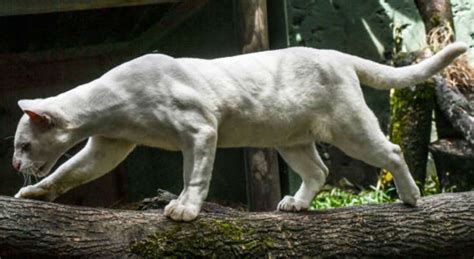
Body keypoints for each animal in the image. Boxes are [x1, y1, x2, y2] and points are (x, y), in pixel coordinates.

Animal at [11, 42, 466, 221]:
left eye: (22, 144)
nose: (15, 164)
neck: (110, 107)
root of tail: (335, 53)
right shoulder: (109, 145)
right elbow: (69, 172)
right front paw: (33, 192)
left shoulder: (199, 129)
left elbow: (194, 176)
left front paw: (184, 209)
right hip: (290, 139)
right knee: (317, 171)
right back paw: (296, 204)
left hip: (349, 127)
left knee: (390, 150)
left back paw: (411, 196)